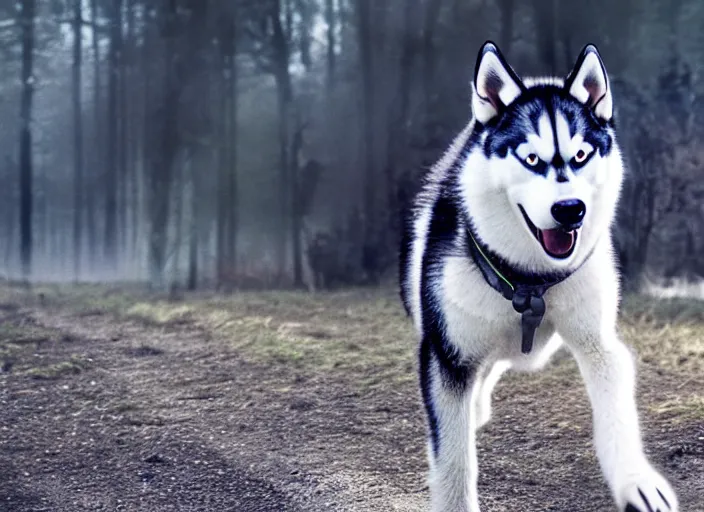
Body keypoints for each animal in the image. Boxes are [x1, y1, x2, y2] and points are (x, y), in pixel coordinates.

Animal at [398, 42, 680, 510]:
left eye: (581, 155)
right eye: (530, 159)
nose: (570, 210)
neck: (528, 280)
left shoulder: (599, 343)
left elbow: (616, 416)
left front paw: (636, 481)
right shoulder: (447, 356)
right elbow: (454, 459)